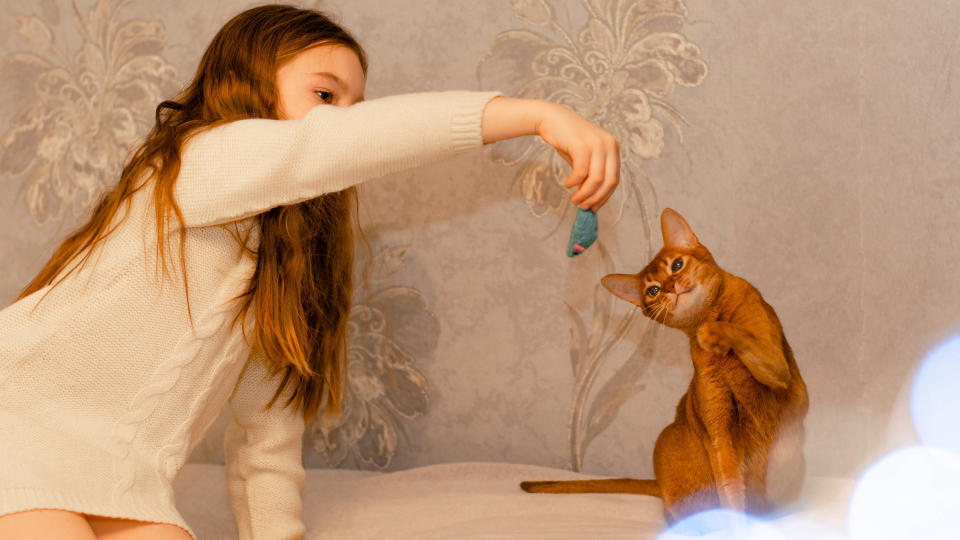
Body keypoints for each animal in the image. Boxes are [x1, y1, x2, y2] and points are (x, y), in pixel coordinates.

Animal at [520, 209, 808, 524]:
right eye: (653, 291)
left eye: (677, 265)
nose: (670, 288)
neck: (709, 314)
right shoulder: (718, 433)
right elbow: (731, 492)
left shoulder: (777, 366)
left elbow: (742, 335)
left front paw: (713, 333)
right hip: (668, 441)